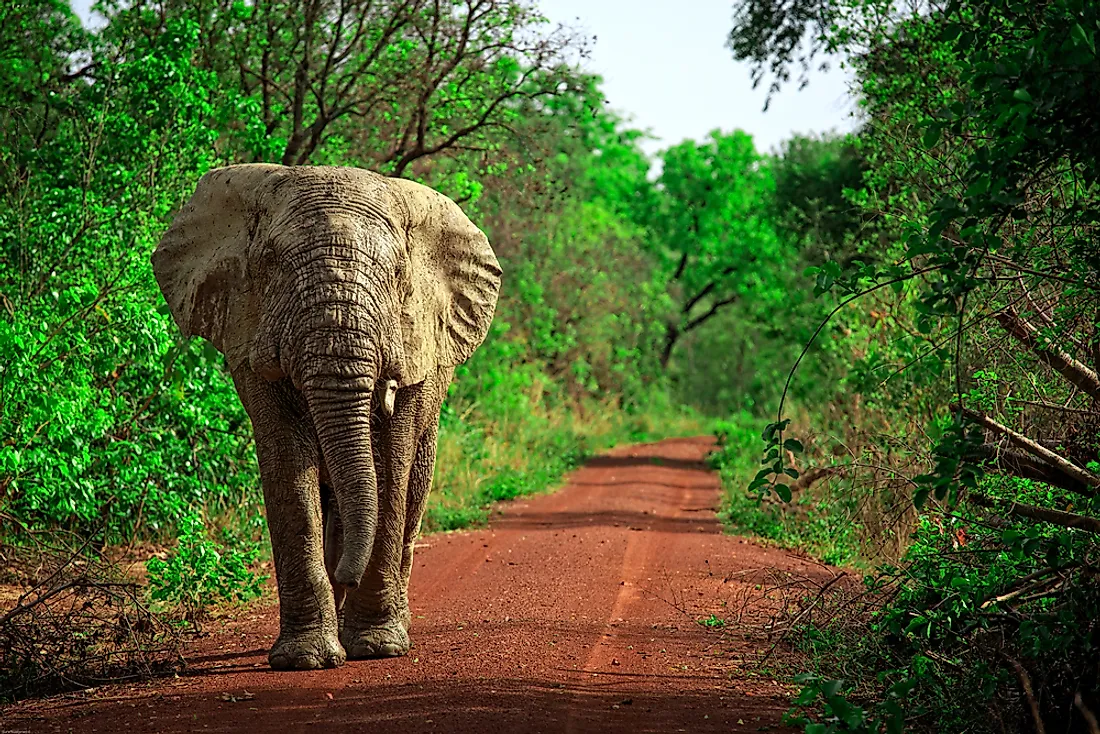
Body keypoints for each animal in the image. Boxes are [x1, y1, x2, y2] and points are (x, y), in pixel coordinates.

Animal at [151, 165, 503, 673]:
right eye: (272, 262)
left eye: (399, 273)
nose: (346, 577)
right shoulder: (247, 331)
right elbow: (289, 469)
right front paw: (306, 659)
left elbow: (389, 467)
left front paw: (377, 648)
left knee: (412, 490)